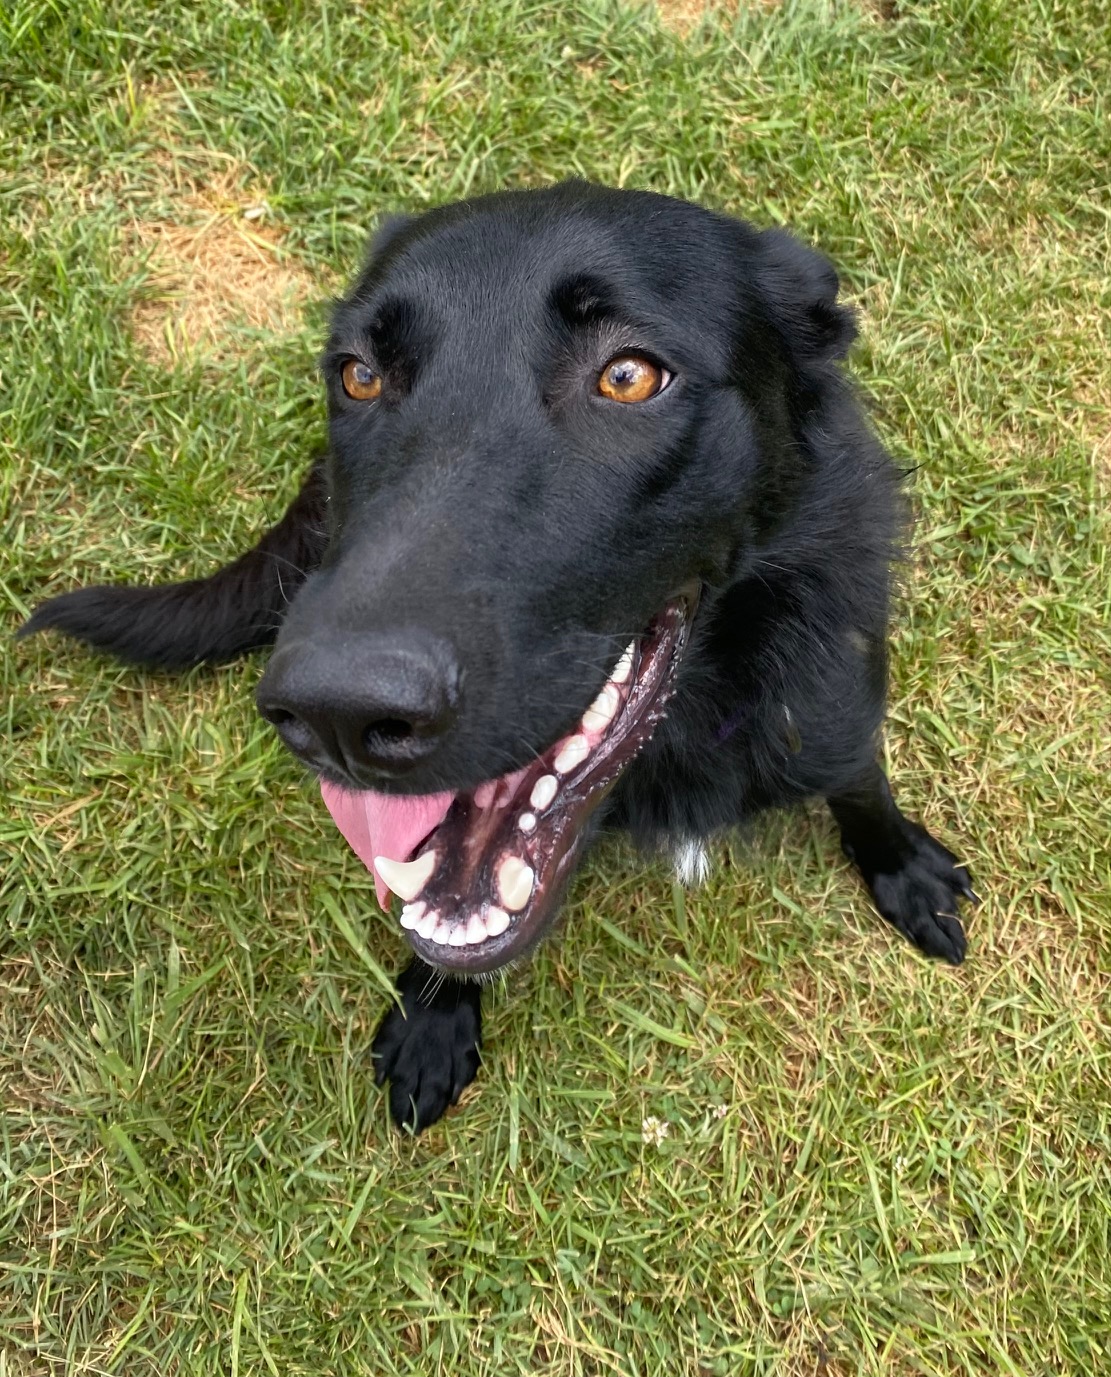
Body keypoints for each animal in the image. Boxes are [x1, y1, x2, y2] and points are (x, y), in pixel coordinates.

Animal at [21, 182, 977, 1132]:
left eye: (627, 375)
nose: (337, 715)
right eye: (358, 374)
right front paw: (432, 1013)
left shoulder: (831, 706)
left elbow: (860, 784)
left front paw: (903, 869)